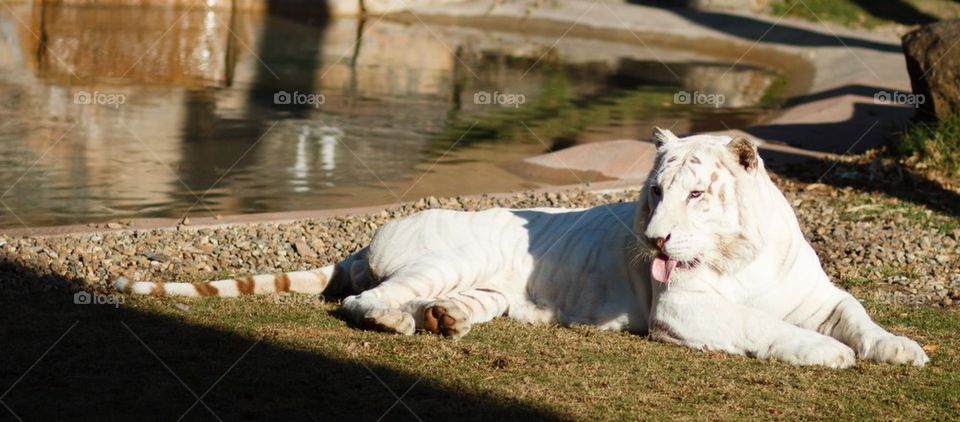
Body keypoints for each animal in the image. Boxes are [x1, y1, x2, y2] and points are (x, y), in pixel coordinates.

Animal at [115, 128, 929, 368]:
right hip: (440, 258)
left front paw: (902, 348)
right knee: (364, 301)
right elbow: (766, 327)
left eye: (697, 194)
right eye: (654, 193)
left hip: (486, 290)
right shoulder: (688, 312)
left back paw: (441, 321)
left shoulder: (818, 293)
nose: (656, 237)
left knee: (430, 303)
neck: (741, 254)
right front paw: (829, 356)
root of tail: (370, 234)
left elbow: (858, 315)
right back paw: (397, 320)